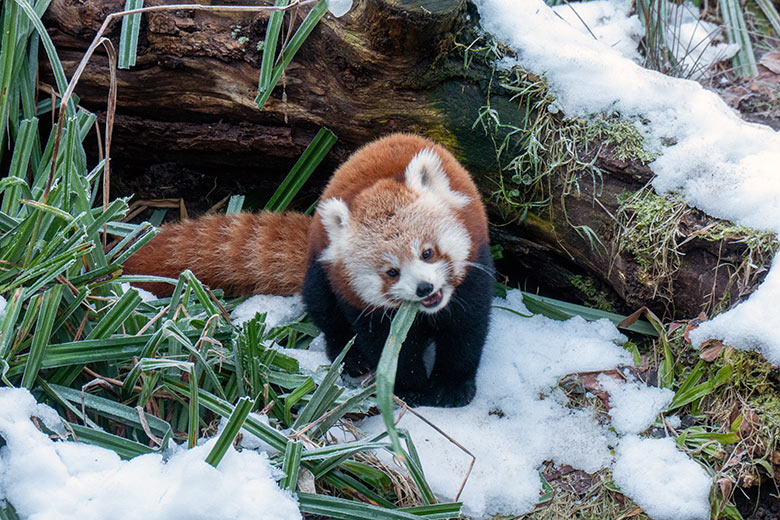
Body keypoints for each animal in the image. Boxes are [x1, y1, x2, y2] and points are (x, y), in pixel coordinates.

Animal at [125, 133, 496, 406]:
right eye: (391, 272)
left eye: (427, 253)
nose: (424, 289)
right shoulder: (361, 300)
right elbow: (387, 343)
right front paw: (409, 388)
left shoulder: (474, 268)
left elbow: (467, 330)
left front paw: (450, 387)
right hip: (321, 269)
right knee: (325, 310)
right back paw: (350, 357)